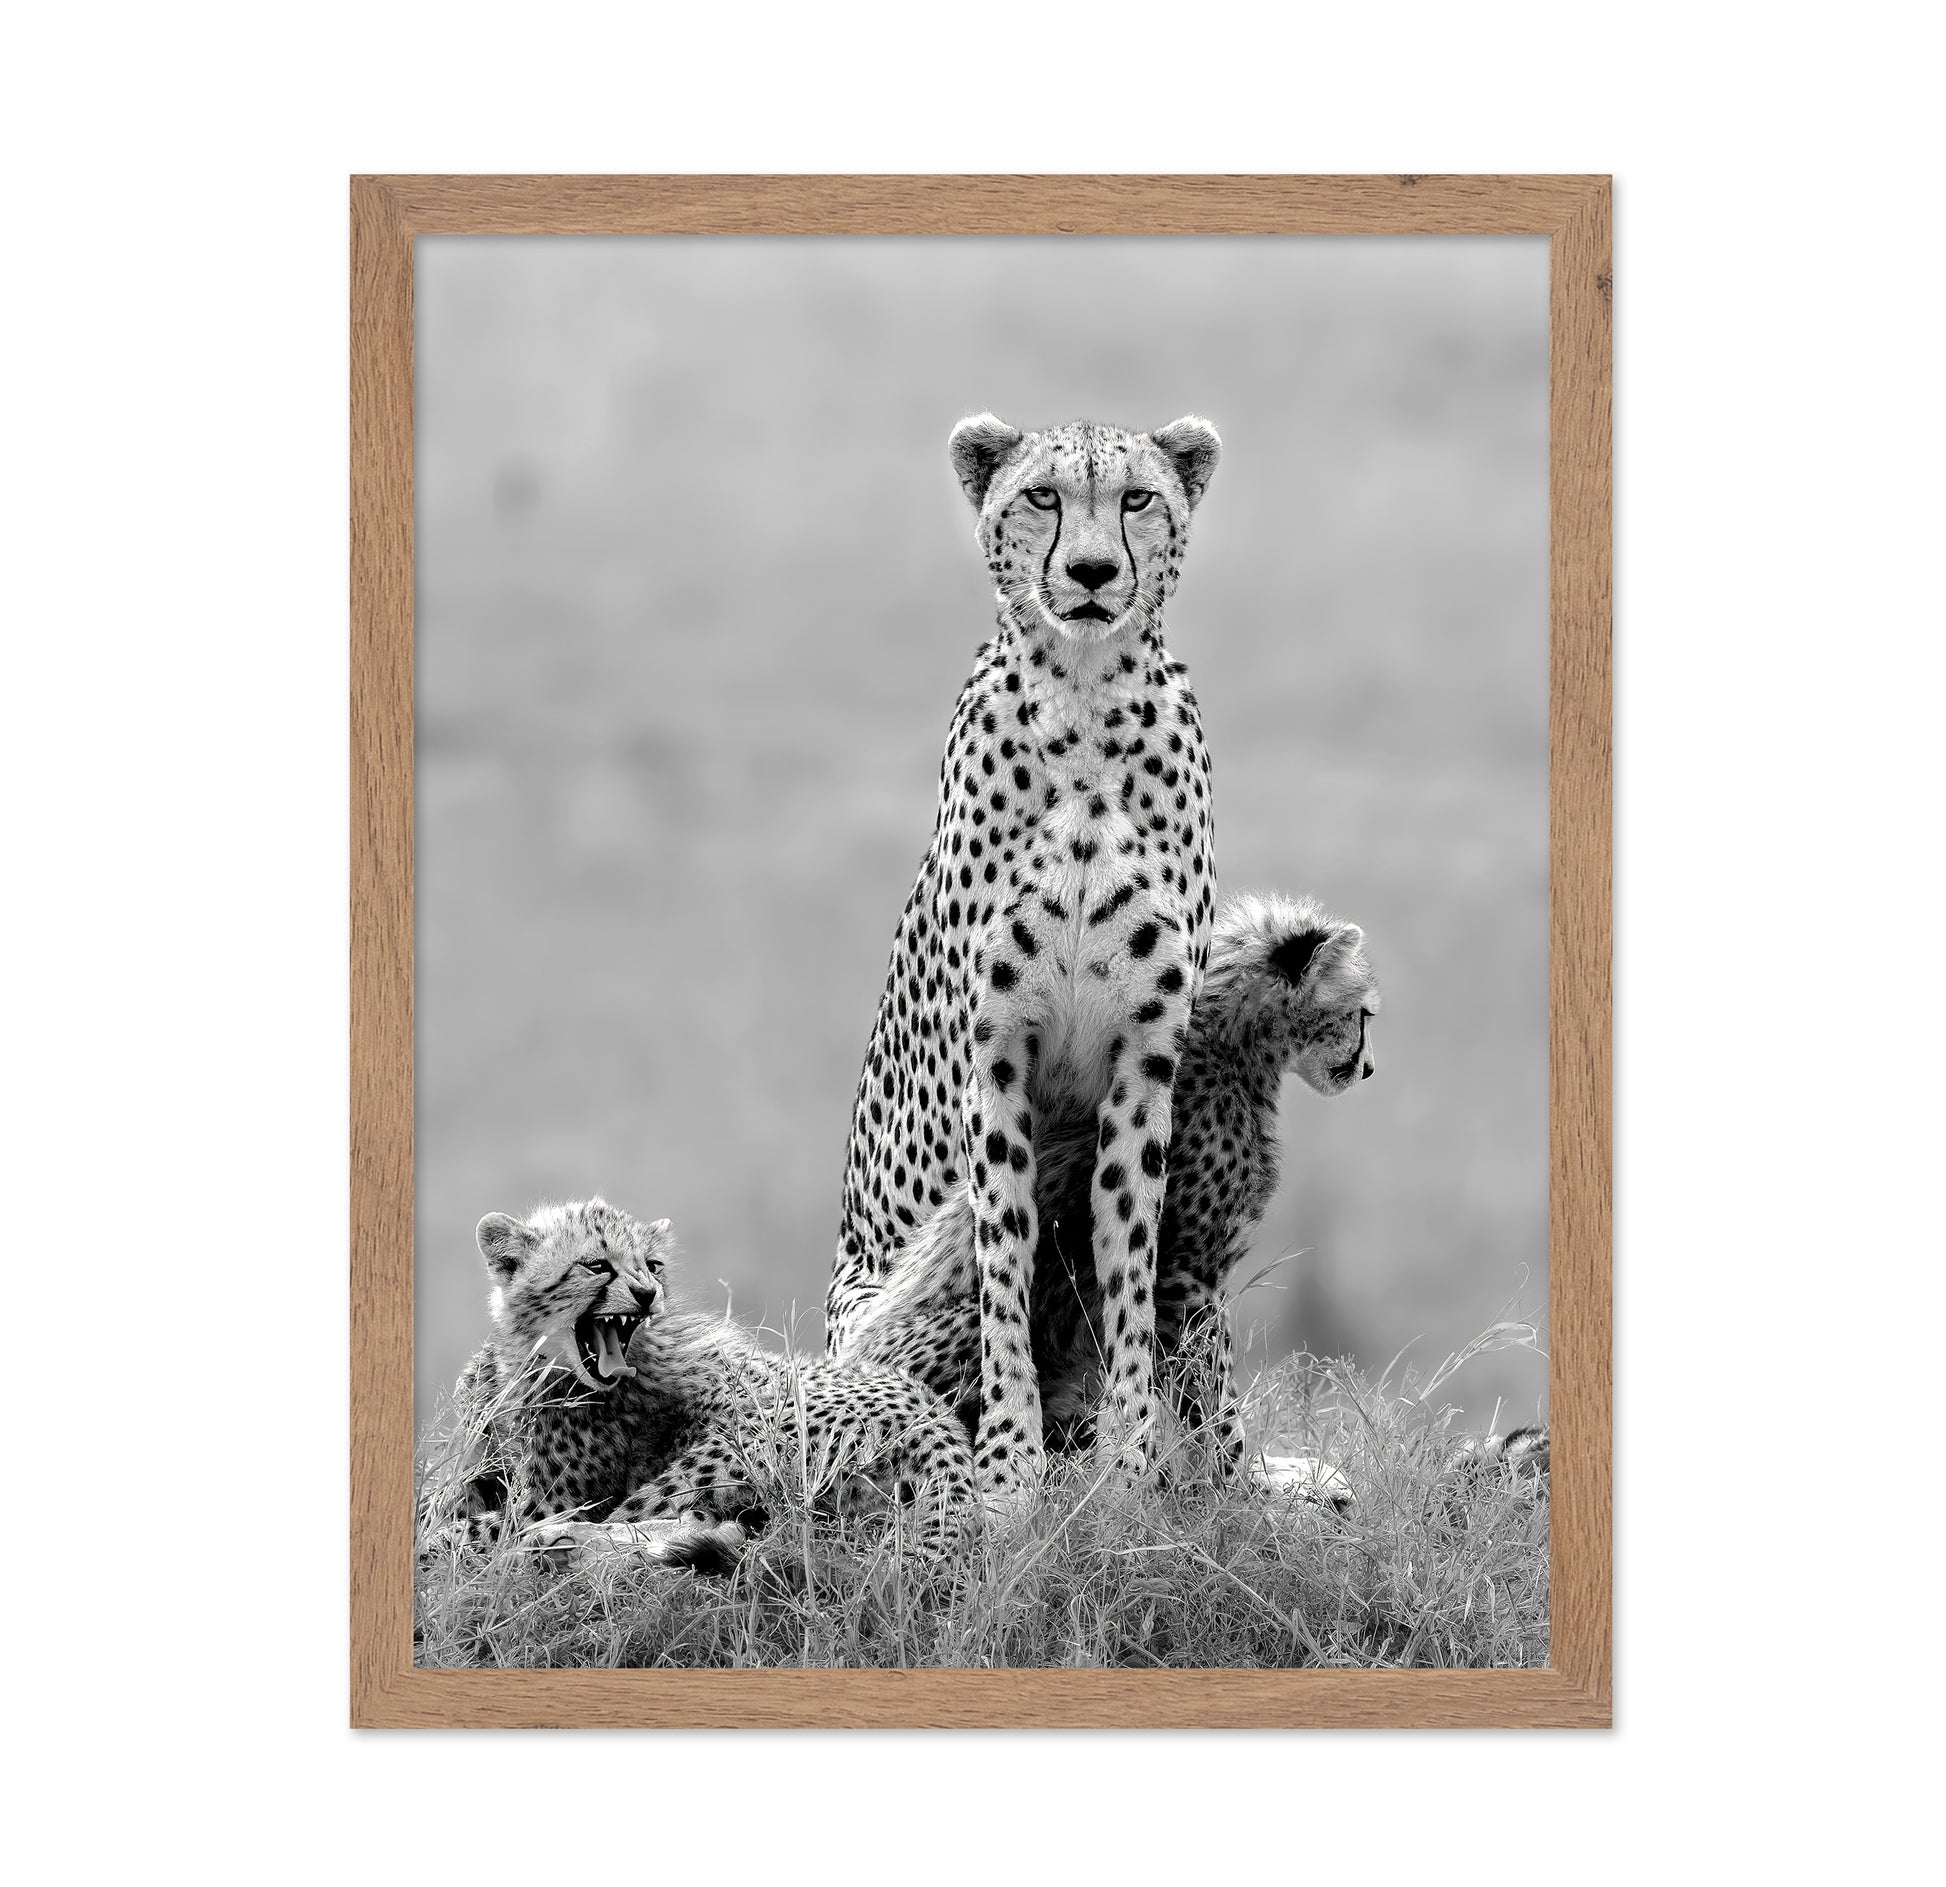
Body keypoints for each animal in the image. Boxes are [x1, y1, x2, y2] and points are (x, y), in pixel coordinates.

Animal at [418, 1197, 976, 1571]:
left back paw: (563, 1545)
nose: (647, 1294)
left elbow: (468, 1526)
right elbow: (440, 1499)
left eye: (652, 1265)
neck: (530, 1364)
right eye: (596, 1265)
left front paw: (440, 1541)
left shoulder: (550, 1500)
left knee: (647, 1518)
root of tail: (935, 1414)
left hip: (727, 1448)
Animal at [829, 412, 1225, 1502]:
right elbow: (1000, 1264)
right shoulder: (995, 1058)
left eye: (1137, 498)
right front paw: (1009, 1469)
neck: (1085, 710)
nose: (1090, 572)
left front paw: (1127, 1466)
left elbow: (1127, 1257)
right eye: (1041, 496)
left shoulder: (1145, 1064)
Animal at [838, 889, 1379, 1508]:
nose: (1369, 1067)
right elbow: (1214, 1403)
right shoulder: (1185, 1280)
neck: (1233, 1048)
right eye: (1364, 1014)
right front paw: (1244, 1492)